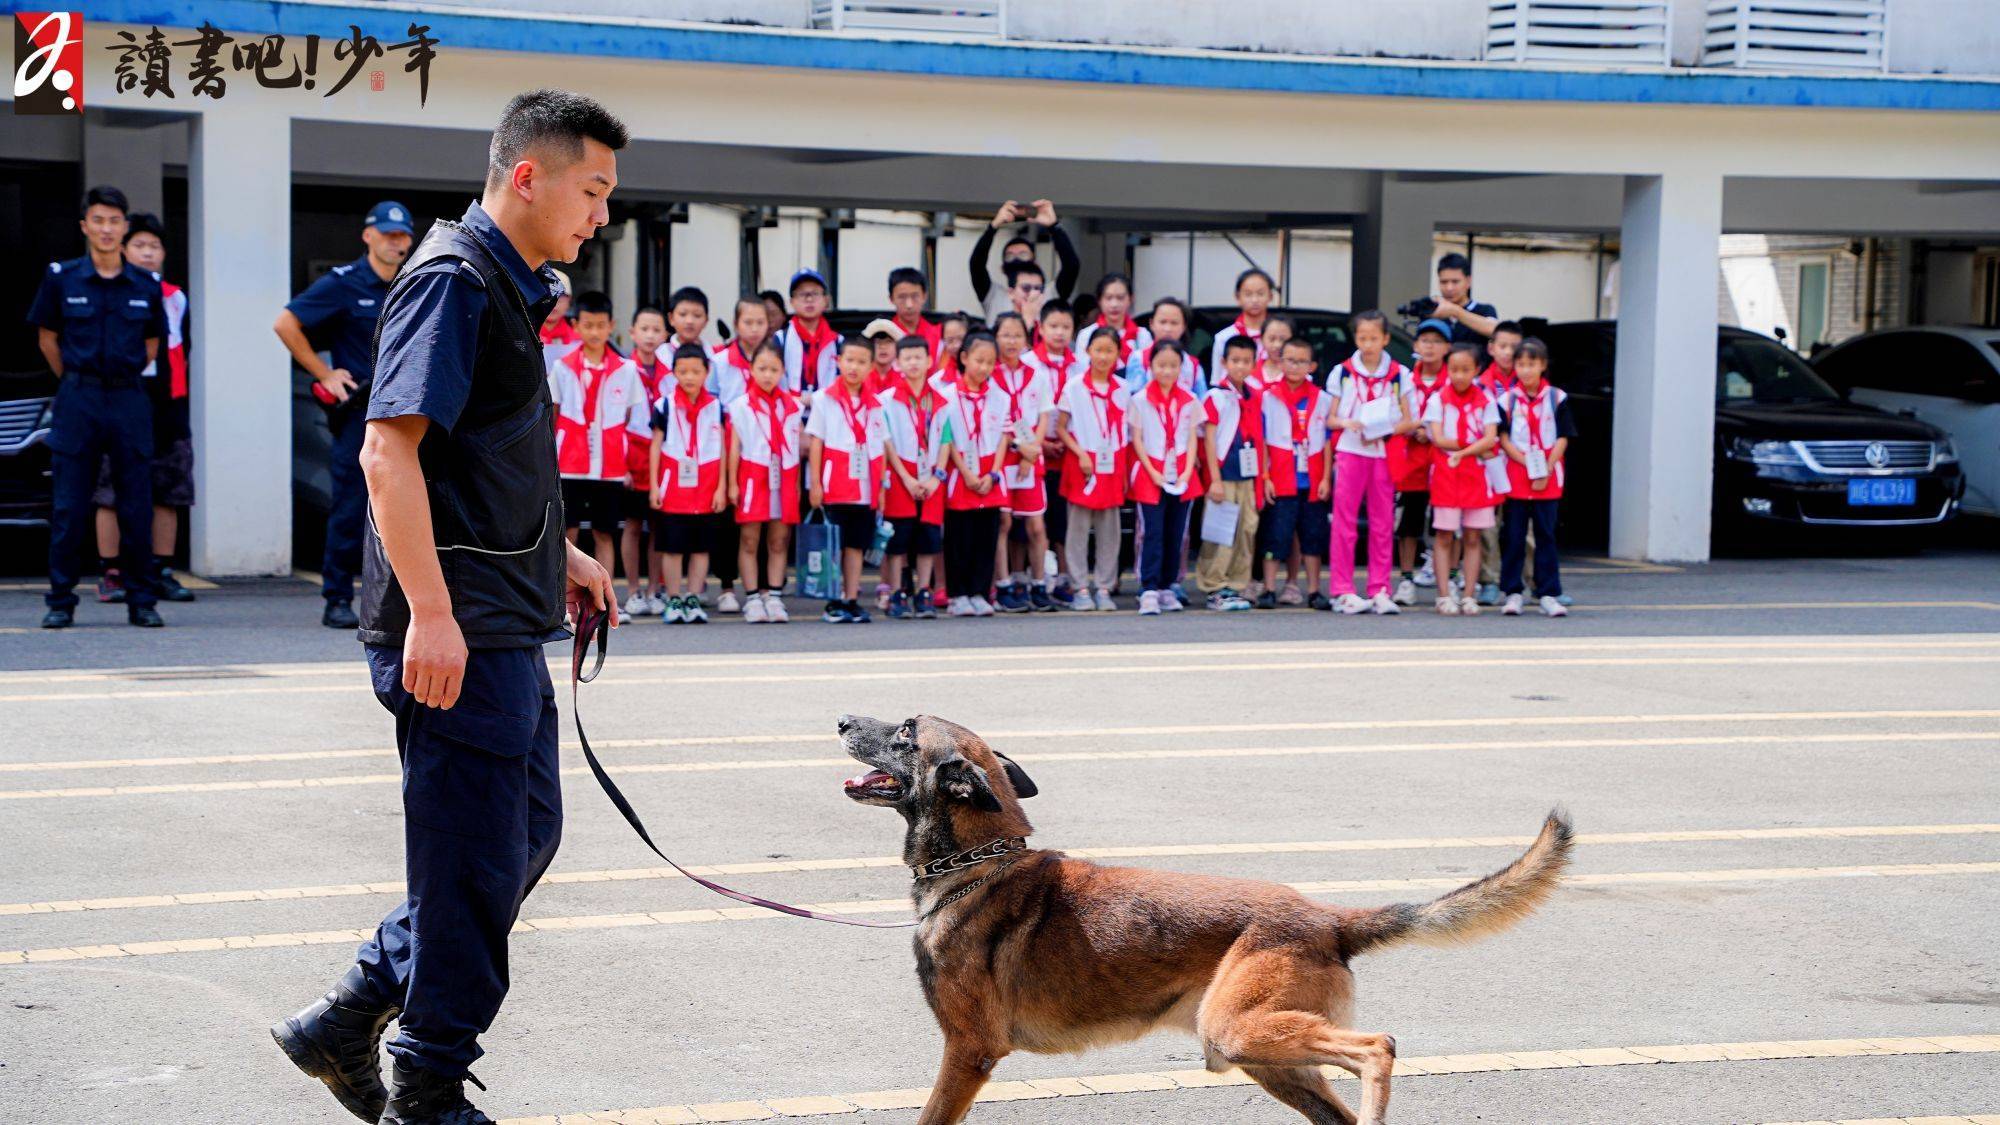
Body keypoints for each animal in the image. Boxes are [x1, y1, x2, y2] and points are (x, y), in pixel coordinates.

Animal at [836, 712, 1568, 1112]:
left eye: (906, 731)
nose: (841, 720)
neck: (980, 863)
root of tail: (1328, 919)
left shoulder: (969, 1052)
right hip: (1268, 1055)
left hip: (1241, 1030)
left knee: (1378, 1047)